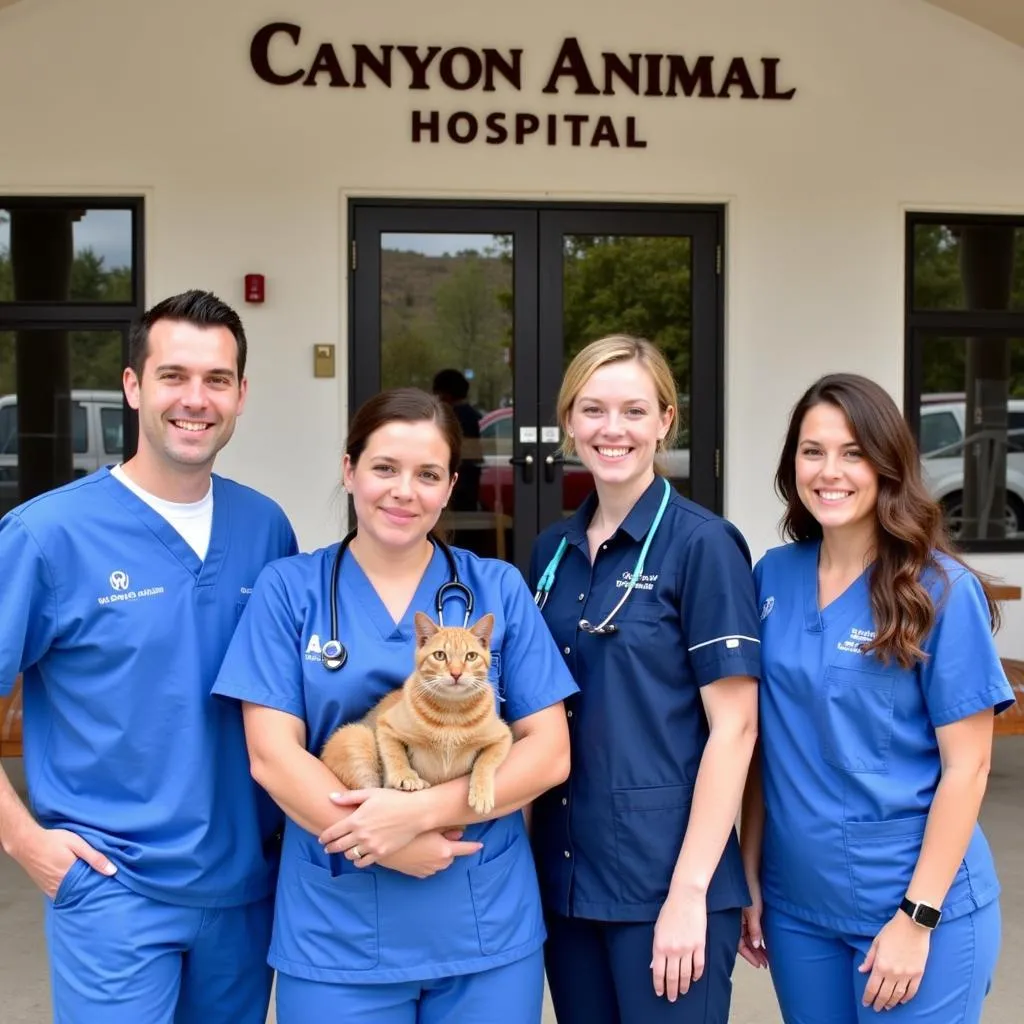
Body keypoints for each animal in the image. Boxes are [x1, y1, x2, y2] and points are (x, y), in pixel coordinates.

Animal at [319, 606, 512, 815]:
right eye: (440, 655)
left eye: (471, 656)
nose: (456, 673)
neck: (451, 714)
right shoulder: (386, 726)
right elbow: (395, 755)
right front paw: (406, 776)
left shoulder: (503, 736)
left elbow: (485, 762)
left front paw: (481, 792)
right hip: (356, 735)